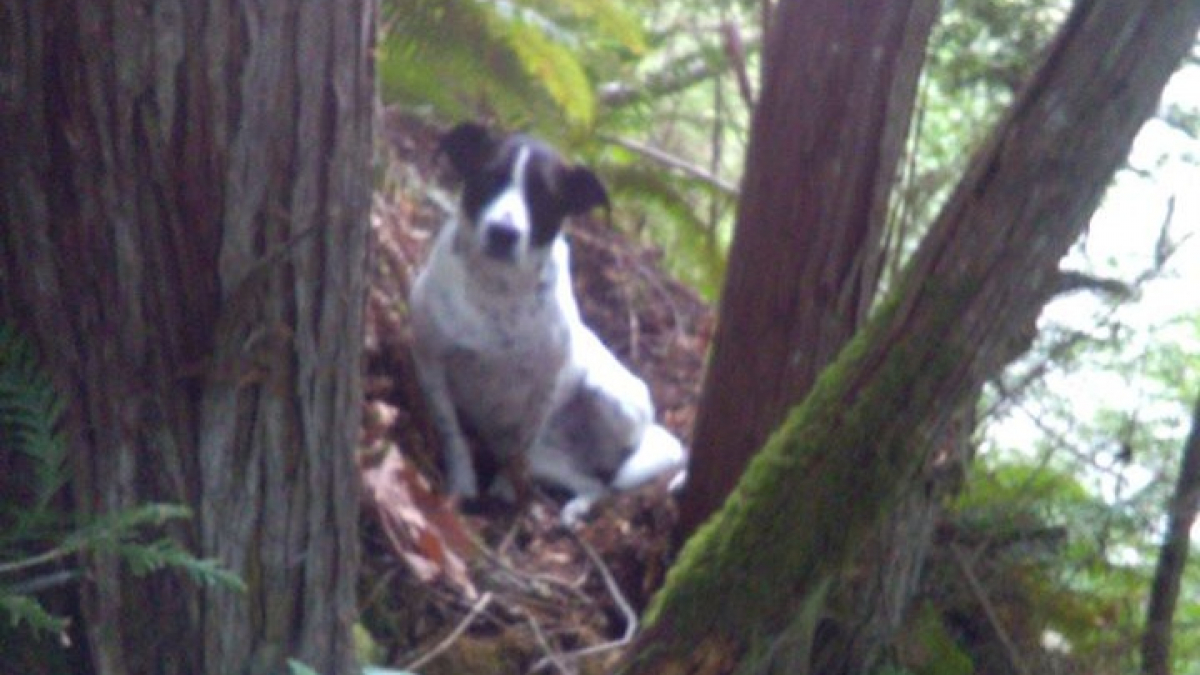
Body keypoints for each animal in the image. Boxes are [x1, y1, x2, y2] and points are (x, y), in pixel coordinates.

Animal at [410, 123, 686, 523]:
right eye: (489, 176)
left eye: (544, 197)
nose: (503, 232)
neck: (498, 291)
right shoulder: (429, 361)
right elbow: (452, 433)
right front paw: (463, 485)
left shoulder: (545, 387)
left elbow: (519, 450)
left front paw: (505, 492)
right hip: (550, 457)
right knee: (593, 483)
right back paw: (574, 509)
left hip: (608, 397)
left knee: (605, 480)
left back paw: (574, 509)